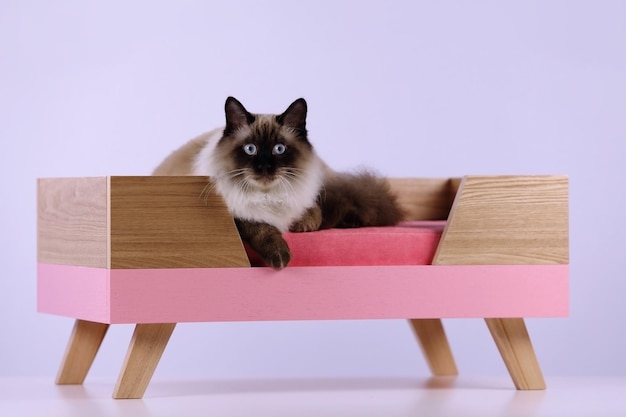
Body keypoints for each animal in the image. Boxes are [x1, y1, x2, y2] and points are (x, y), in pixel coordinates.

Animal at [154, 96, 402, 268]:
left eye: (279, 149)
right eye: (250, 149)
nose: (265, 167)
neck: (267, 196)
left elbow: (314, 213)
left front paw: (302, 225)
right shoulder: (238, 216)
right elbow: (263, 228)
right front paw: (281, 257)